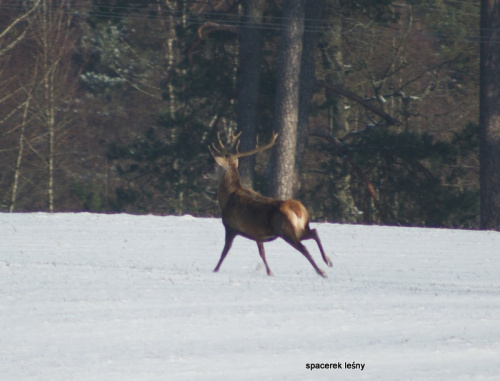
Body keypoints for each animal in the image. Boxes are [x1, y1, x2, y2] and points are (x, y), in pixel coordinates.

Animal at [207, 131, 332, 276]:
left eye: (215, 165)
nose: (205, 172)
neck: (226, 199)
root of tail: (298, 210)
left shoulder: (230, 226)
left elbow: (224, 252)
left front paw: (215, 269)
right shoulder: (257, 233)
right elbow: (262, 253)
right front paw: (269, 272)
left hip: (285, 229)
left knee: (303, 248)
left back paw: (321, 271)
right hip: (300, 229)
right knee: (314, 232)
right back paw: (328, 261)